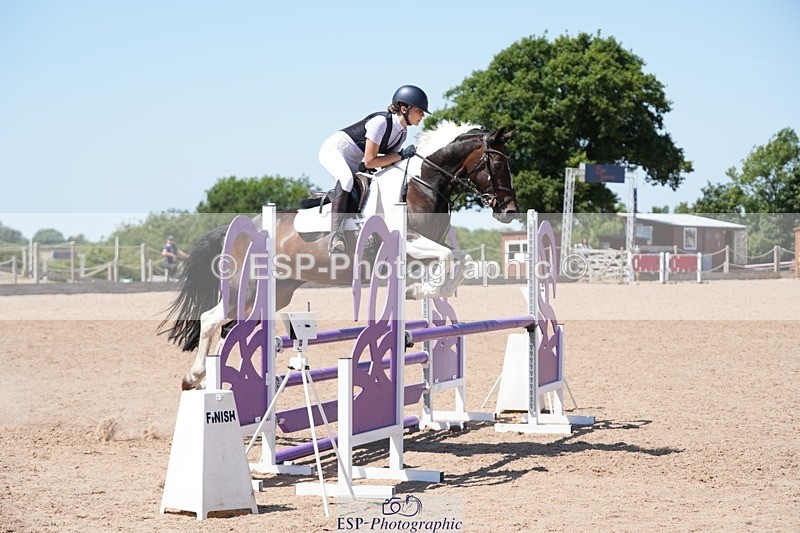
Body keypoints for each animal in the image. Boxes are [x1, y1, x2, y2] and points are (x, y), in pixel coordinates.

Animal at [159, 121, 519, 390]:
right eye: (498, 163)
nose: (510, 211)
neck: (420, 185)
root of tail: (241, 228)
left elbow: (459, 259)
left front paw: (424, 289)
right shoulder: (410, 241)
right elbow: (449, 258)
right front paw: (423, 289)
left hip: (274, 293)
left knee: (229, 328)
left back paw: (210, 379)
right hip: (245, 288)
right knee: (211, 320)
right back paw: (194, 377)